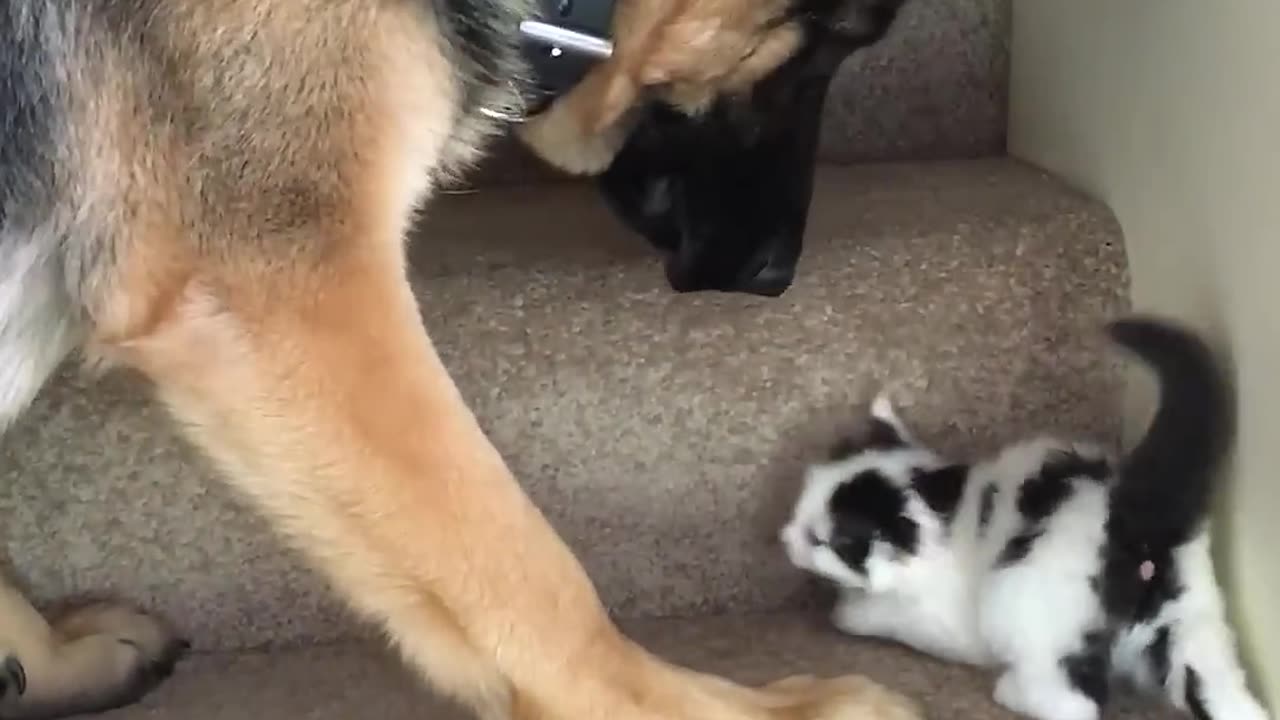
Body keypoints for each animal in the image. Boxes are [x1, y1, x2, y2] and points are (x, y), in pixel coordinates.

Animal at [778, 316, 1269, 717]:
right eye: (799, 509)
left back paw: (1011, 692)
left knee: (1075, 703)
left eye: (826, 541)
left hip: (1028, 605)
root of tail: (1137, 512)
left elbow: (881, 616)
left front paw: (847, 610)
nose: (786, 539)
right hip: (1192, 623)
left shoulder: (951, 623)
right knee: (1221, 691)